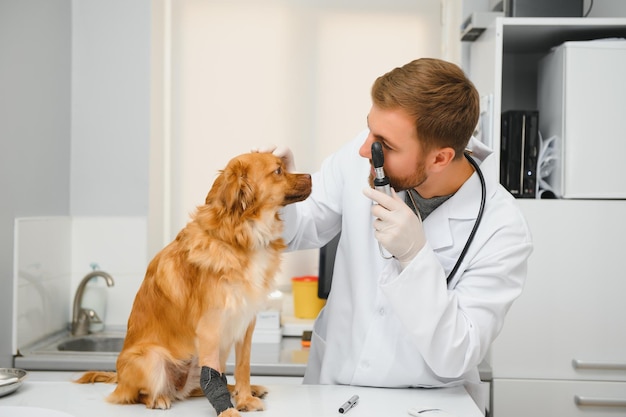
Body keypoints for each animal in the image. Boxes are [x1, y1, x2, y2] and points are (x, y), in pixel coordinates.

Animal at [77, 151, 310, 414]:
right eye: (278, 170)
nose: (311, 176)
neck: (240, 236)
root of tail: (119, 380)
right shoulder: (210, 326)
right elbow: (215, 377)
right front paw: (228, 409)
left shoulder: (244, 324)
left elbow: (243, 367)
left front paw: (245, 398)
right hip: (152, 357)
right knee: (138, 395)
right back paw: (158, 399)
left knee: (197, 387)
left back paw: (246, 389)